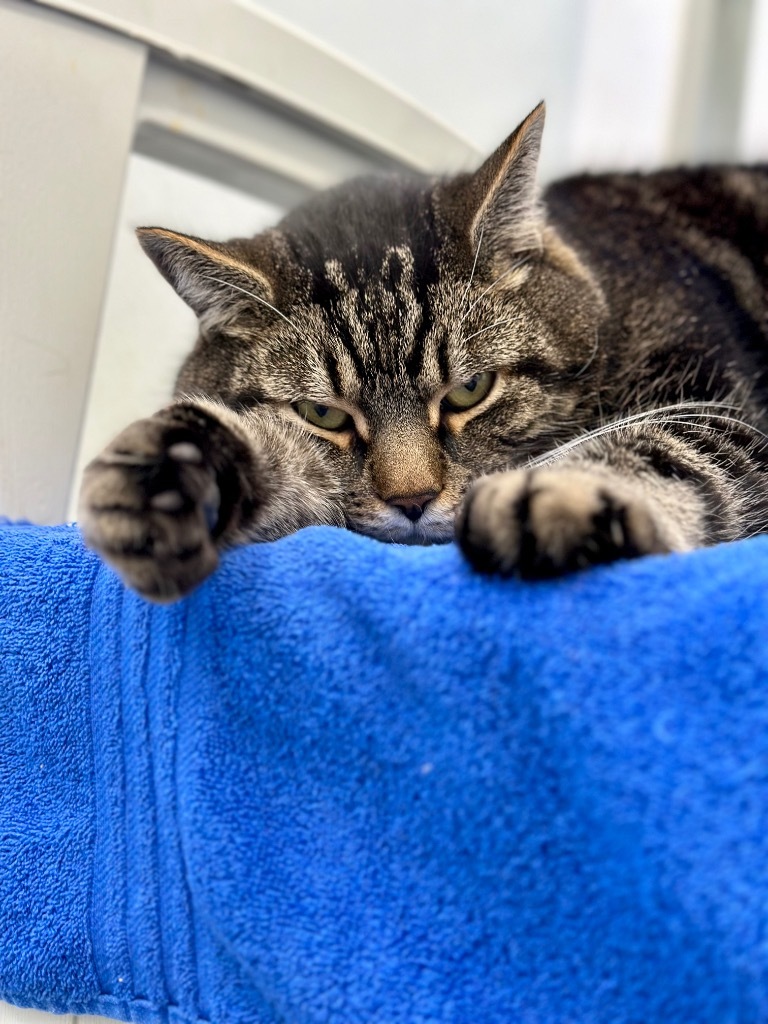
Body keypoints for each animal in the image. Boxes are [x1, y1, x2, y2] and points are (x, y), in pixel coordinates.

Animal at [78, 103, 768, 598]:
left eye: (469, 391)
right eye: (323, 414)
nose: (411, 502)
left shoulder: (724, 412)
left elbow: (664, 448)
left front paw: (561, 494)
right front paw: (171, 469)